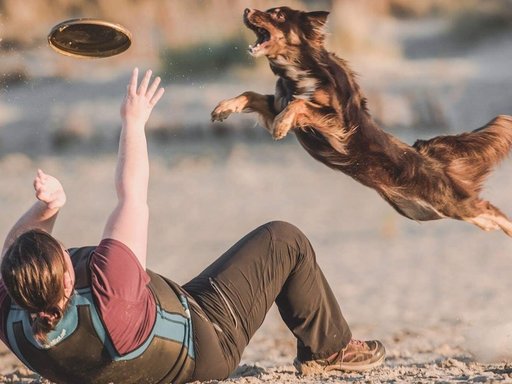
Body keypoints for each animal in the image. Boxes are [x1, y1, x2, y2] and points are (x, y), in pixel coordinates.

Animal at [210, 6, 512, 236]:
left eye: (278, 15)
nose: (246, 10)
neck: (298, 69)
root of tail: (427, 155)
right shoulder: (277, 104)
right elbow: (252, 94)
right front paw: (224, 108)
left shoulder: (338, 123)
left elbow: (301, 104)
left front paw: (281, 126)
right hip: (431, 209)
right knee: (485, 217)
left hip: (450, 202)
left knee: (490, 209)